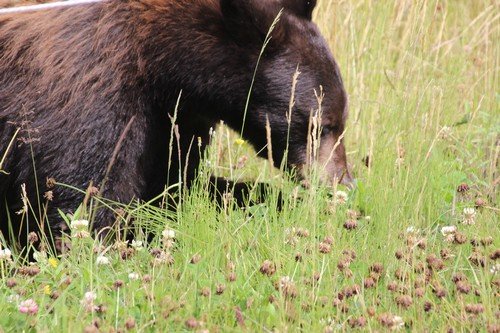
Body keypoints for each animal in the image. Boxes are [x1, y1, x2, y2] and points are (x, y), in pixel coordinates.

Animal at [0, 0, 352, 244]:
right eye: (323, 125)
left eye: (341, 121)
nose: (343, 183)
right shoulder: (90, 83)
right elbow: (89, 194)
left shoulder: (173, 118)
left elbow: (174, 183)